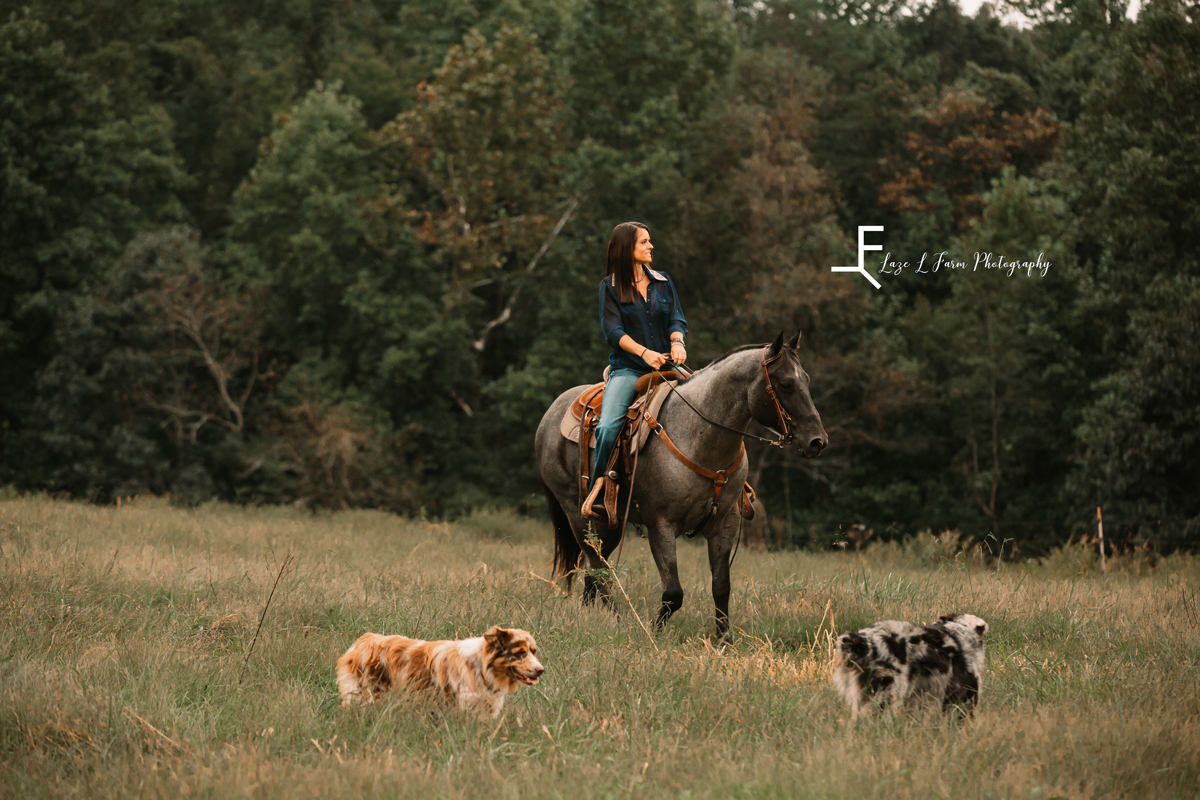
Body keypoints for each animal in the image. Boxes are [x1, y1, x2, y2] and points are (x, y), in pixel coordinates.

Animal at [336, 623, 547, 719]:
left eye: (534, 651)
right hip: (365, 696)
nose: (541, 670)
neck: (481, 668)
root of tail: (363, 641)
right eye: (519, 653)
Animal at [535, 331, 825, 638]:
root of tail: (552, 412)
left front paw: (724, 639)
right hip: (576, 513)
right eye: (786, 384)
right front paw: (651, 631)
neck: (699, 436)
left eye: (806, 380)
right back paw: (618, 621)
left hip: (609, 523)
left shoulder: (725, 524)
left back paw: (592, 617)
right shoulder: (660, 525)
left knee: (594, 568)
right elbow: (673, 592)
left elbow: (721, 586)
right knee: (597, 566)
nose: (817, 441)